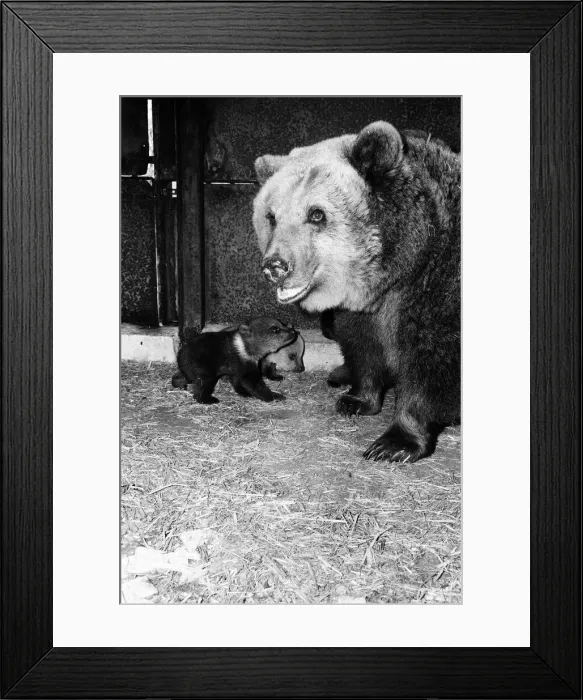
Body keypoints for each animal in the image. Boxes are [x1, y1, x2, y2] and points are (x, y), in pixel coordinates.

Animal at [252, 122, 460, 462]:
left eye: (316, 214)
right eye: (271, 216)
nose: (276, 266)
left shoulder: (438, 288)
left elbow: (432, 360)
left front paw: (394, 443)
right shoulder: (365, 311)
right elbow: (362, 344)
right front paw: (356, 399)